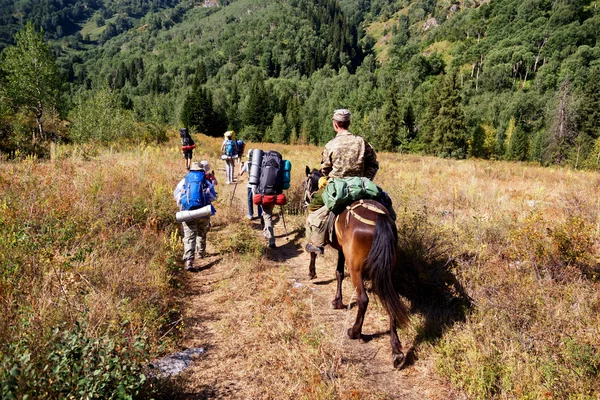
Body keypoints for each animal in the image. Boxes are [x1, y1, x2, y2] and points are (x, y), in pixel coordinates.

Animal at [302, 168, 410, 368]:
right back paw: (396, 351)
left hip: (356, 268)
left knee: (363, 299)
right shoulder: (342, 250)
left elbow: (319, 255)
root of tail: (380, 217)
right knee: (389, 299)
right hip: (387, 270)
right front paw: (337, 301)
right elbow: (338, 272)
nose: (305, 203)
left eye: (305, 183)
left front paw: (313, 274)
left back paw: (354, 331)